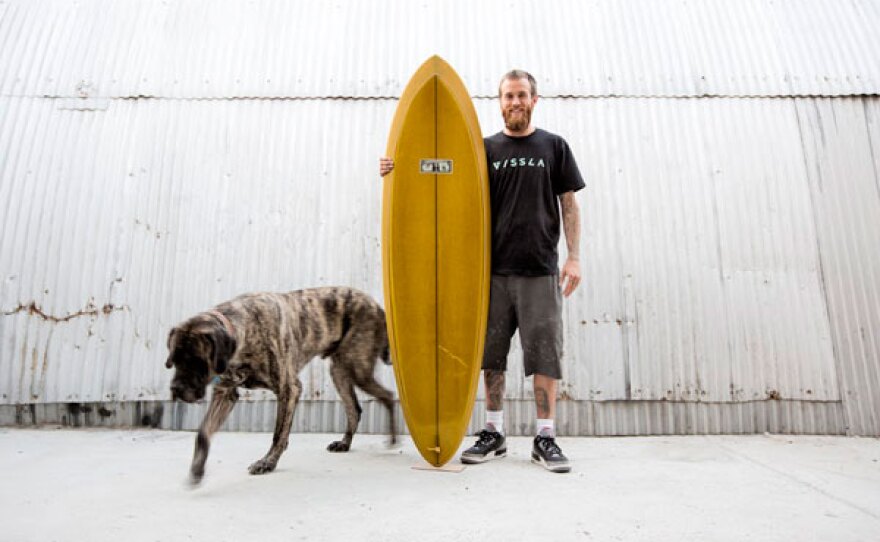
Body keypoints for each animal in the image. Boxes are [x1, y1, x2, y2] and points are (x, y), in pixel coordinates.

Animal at [164, 286, 396, 486]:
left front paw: (267, 462)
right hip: (339, 371)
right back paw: (345, 443)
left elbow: (278, 434)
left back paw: (393, 440)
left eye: (197, 362)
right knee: (354, 410)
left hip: (358, 368)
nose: (176, 390)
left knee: (387, 396)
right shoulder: (225, 394)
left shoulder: (289, 388)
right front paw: (197, 469)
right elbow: (203, 434)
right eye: (174, 360)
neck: (242, 329)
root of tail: (377, 306)